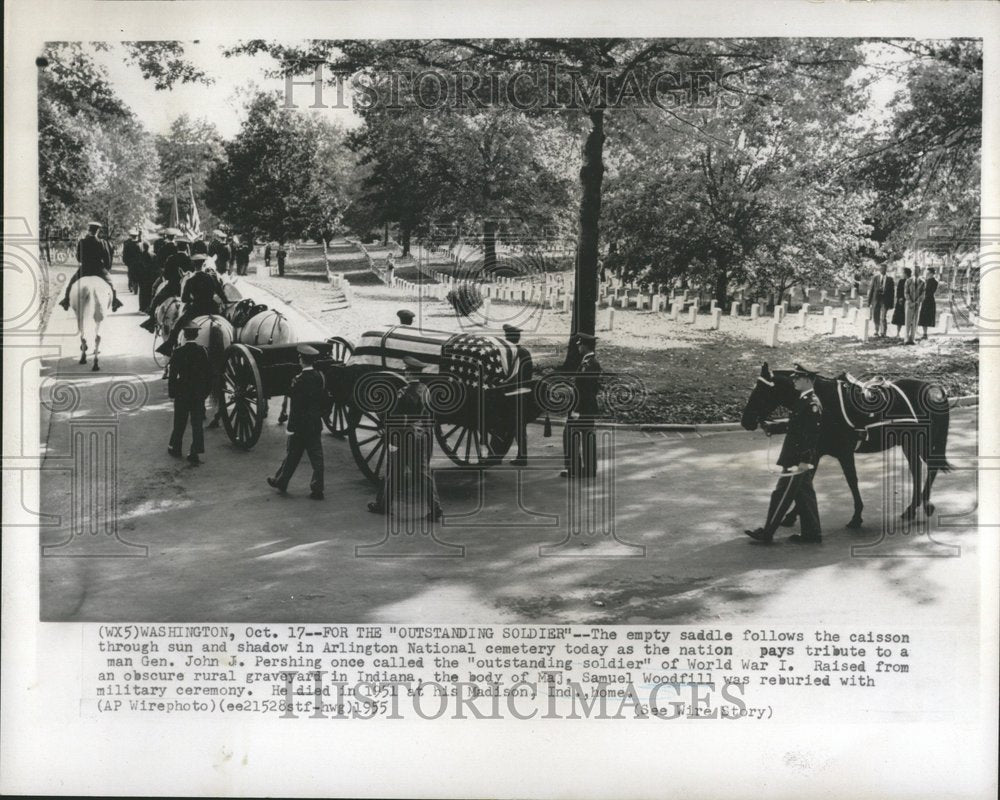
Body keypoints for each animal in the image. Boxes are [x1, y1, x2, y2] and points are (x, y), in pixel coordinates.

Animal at [744, 364, 952, 528]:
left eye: (761, 391)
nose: (746, 420)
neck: (825, 402)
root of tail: (931, 389)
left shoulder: (844, 453)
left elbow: (852, 481)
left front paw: (857, 516)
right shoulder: (815, 452)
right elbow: (806, 478)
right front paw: (791, 515)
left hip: (922, 444)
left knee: (931, 468)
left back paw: (924, 505)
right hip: (909, 444)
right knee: (917, 471)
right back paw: (912, 508)